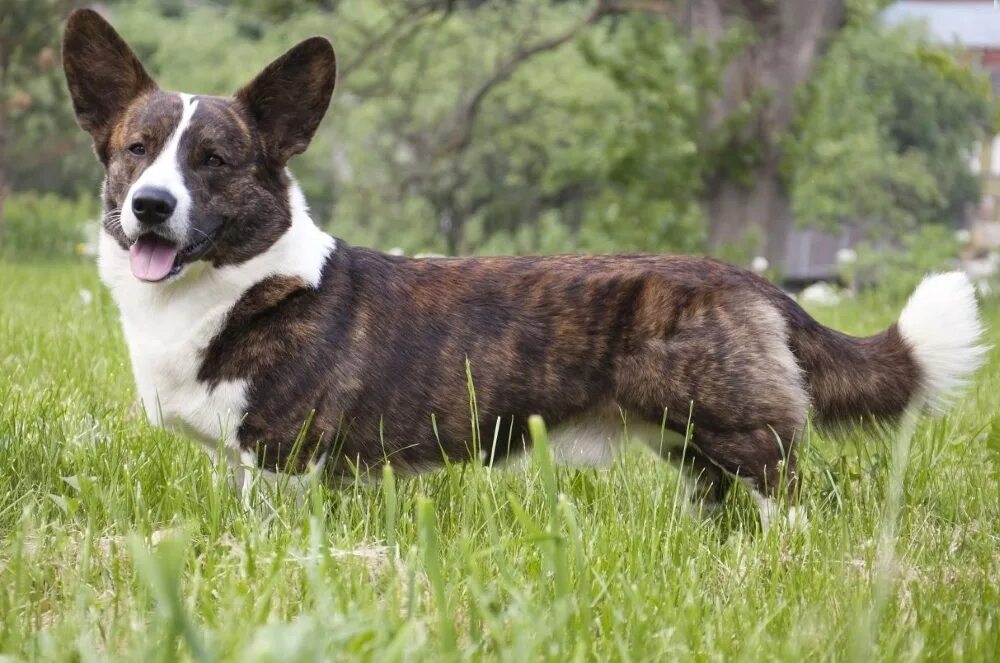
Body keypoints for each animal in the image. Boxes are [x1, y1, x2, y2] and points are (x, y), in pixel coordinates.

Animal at [60, 6, 984, 524]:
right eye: (137, 149)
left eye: (213, 160)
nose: (151, 206)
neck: (238, 285)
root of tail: (752, 279)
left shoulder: (284, 462)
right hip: (694, 448)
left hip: (740, 434)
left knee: (790, 505)